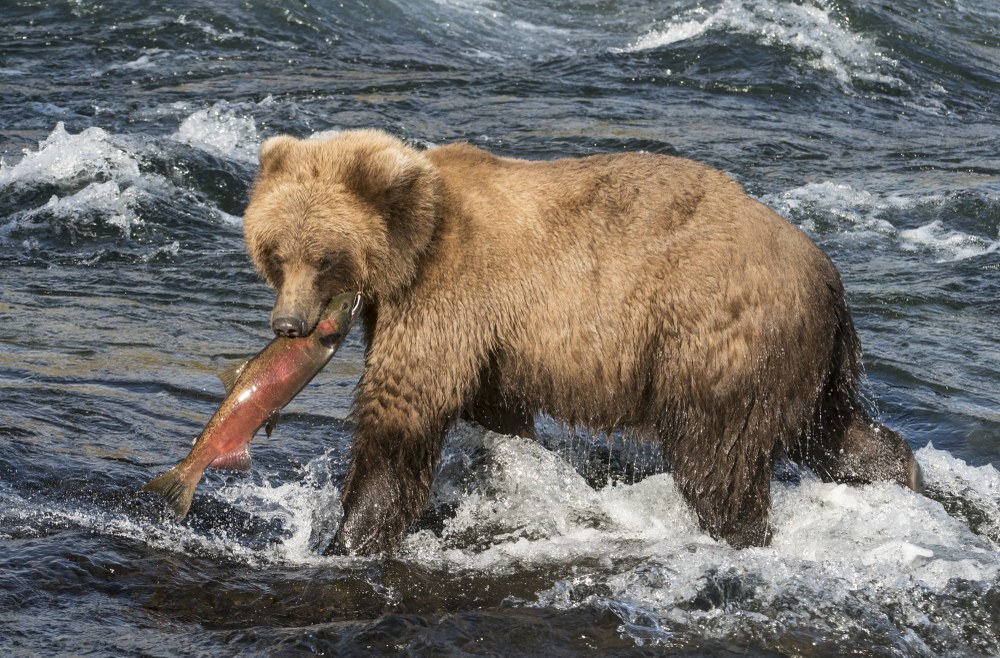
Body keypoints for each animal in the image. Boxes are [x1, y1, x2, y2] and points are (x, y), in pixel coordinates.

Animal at [241, 129, 923, 556]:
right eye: (274, 252)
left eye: (323, 257)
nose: (288, 325)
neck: (410, 252)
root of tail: (828, 274)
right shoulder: (486, 338)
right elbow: (496, 413)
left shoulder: (451, 294)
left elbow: (403, 411)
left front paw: (348, 536)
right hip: (808, 358)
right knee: (835, 428)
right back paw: (900, 473)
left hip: (719, 338)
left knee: (718, 459)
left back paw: (736, 532)